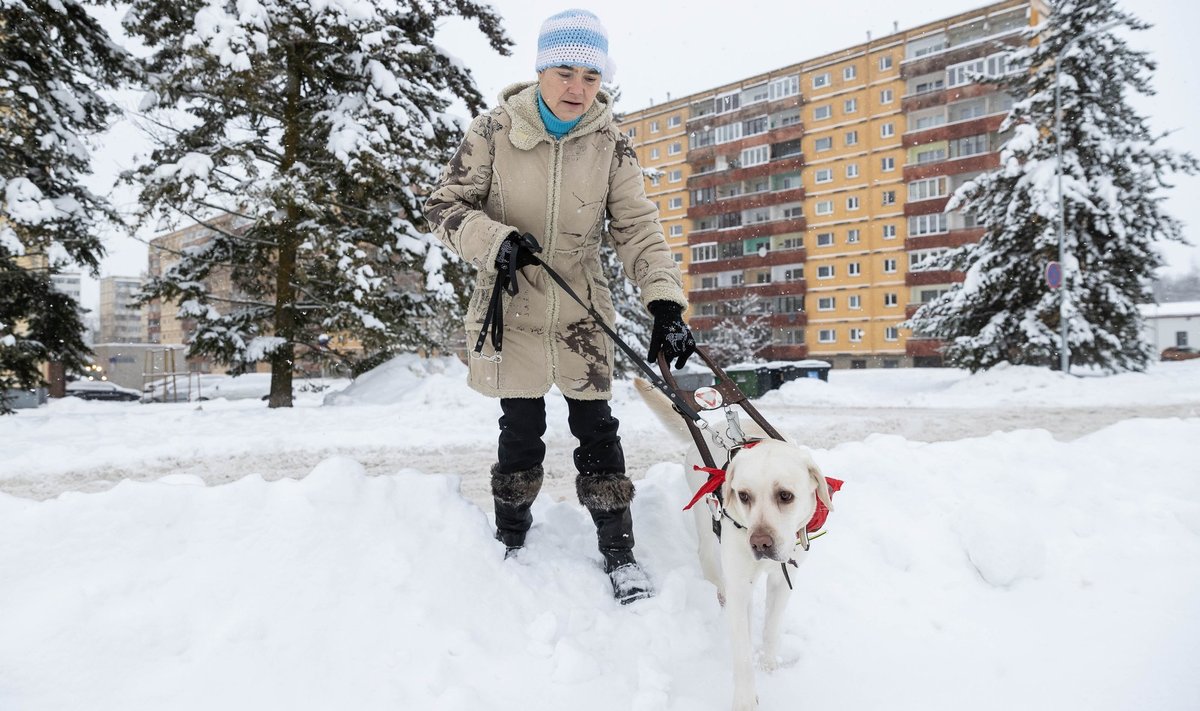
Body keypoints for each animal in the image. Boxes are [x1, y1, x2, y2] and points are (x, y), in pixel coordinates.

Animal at [633, 377, 830, 711]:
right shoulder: (739, 581)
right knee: (721, 583)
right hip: (710, 545)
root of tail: (706, 427)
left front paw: (770, 669)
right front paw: (745, 700)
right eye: (744, 495)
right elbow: (741, 653)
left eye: (786, 495)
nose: (760, 543)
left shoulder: (783, 581)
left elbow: (771, 630)